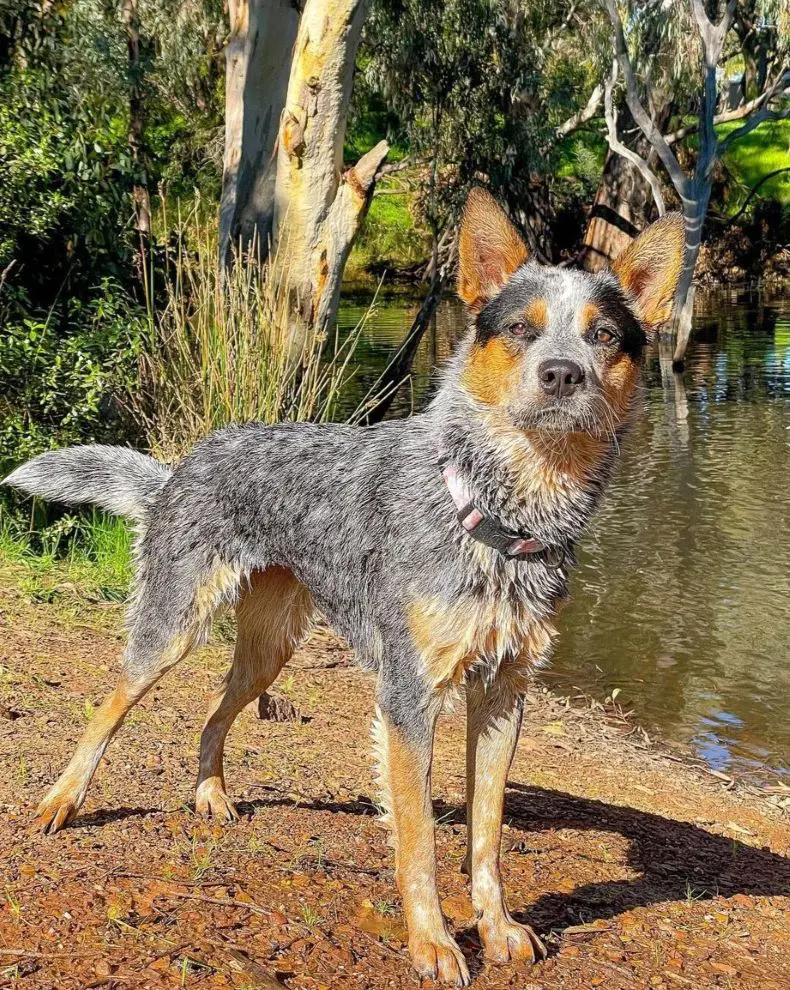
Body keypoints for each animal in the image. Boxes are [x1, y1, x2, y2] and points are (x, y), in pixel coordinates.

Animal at [5, 188, 684, 986]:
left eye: (603, 335)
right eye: (522, 328)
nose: (562, 375)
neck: (497, 515)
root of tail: (180, 466)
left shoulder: (503, 693)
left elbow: (486, 834)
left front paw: (498, 928)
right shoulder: (408, 696)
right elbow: (418, 840)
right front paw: (433, 943)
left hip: (270, 650)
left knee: (213, 713)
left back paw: (209, 794)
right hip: (172, 630)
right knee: (107, 708)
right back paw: (62, 801)